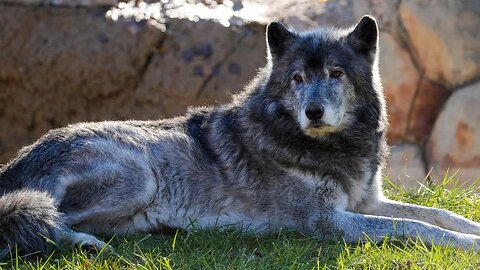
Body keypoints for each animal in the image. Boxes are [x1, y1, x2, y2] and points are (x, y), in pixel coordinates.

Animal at [0, 15, 480, 258]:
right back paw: (85, 244)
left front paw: (471, 229)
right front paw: (467, 246)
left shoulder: (366, 202)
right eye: (298, 78)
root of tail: (14, 163)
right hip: (138, 178)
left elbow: (436, 214)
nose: (313, 112)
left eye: (335, 74)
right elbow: (414, 226)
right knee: (37, 220)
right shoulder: (327, 222)